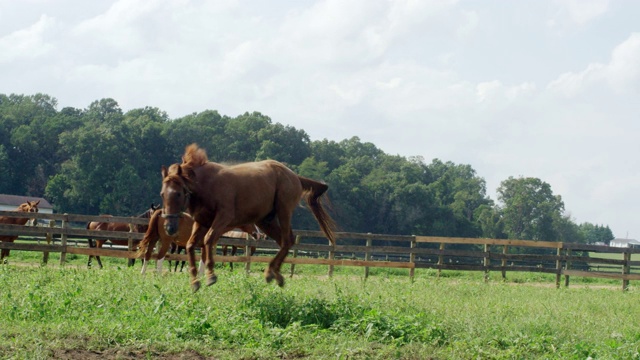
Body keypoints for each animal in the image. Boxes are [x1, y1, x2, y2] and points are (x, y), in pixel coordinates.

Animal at [160, 143, 338, 292]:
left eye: (178, 193)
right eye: (162, 194)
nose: (169, 227)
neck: (206, 185)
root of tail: (296, 177)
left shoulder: (223, 218)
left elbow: (208, 240)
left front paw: (210, 275)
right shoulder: (202, 222)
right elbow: (191, 245)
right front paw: (195, 281)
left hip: (283, 211)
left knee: (287, 239)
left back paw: (270, 272)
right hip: (266, 221)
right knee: (284, 241)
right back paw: (276, 274)